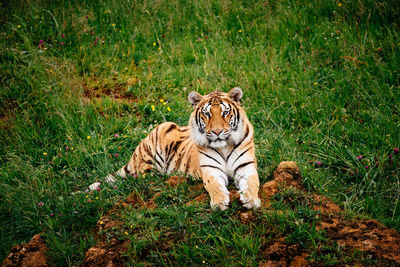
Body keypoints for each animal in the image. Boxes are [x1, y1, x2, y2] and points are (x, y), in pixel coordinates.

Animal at [88, 88, 260, 211]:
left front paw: (252, 201)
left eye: (225, 112)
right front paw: (219, 203)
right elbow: (215, 186)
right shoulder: (211, 170)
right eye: (207, 113)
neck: (223, 146)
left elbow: (252, 183)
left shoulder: (246, 166)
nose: (217, 132)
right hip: (155, 147)